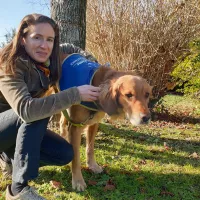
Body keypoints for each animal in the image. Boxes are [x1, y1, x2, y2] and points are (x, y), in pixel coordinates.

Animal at [58, 54, 152, 191]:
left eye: (147, 94)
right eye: (129, 95)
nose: (146, 118)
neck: (95, 84)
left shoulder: (93, 123)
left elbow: (90, 148)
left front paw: (92, 165)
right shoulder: (75, 126)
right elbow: (75, 158)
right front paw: (78, 181)